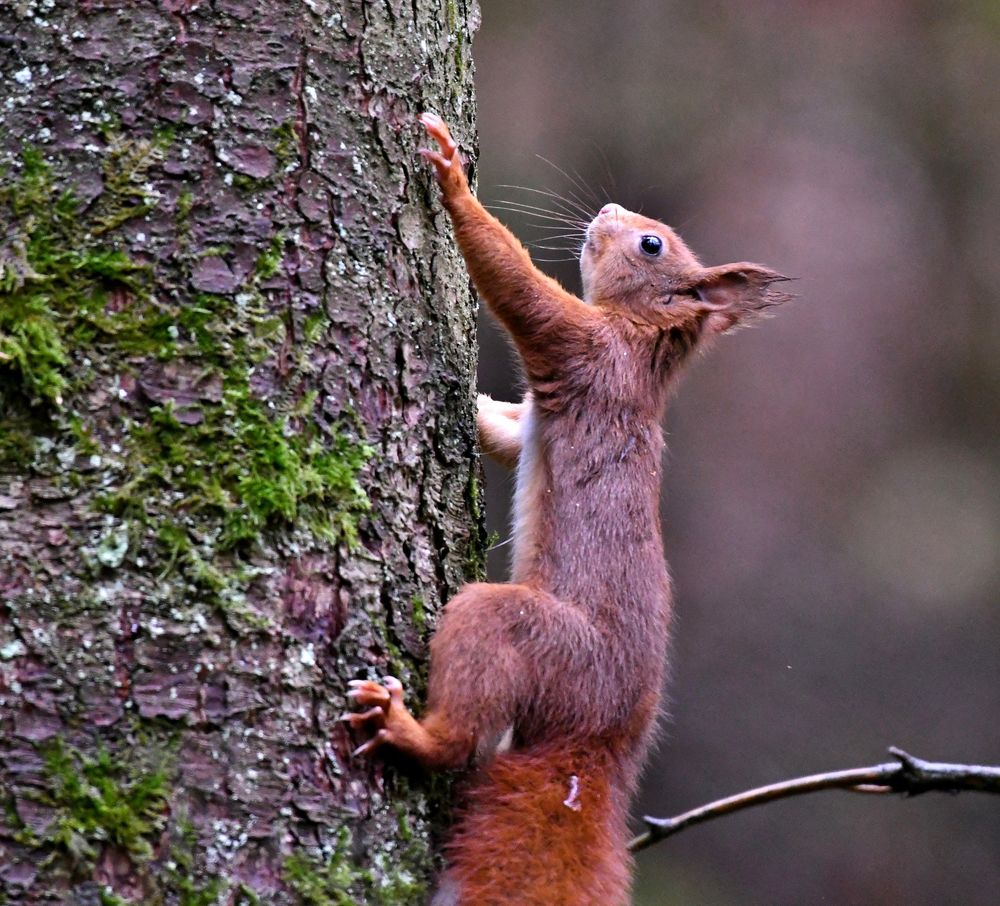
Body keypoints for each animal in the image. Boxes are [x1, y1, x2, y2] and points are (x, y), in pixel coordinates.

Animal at [343, 113, 790, 906]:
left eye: (652, 245)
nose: (609, 210)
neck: (641, 344)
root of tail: (600, 746)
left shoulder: (584, 349)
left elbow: (517, 286)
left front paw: (453, 180)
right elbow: (508, 432)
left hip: (534, 637)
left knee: (463, 730)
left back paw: (407, 729)